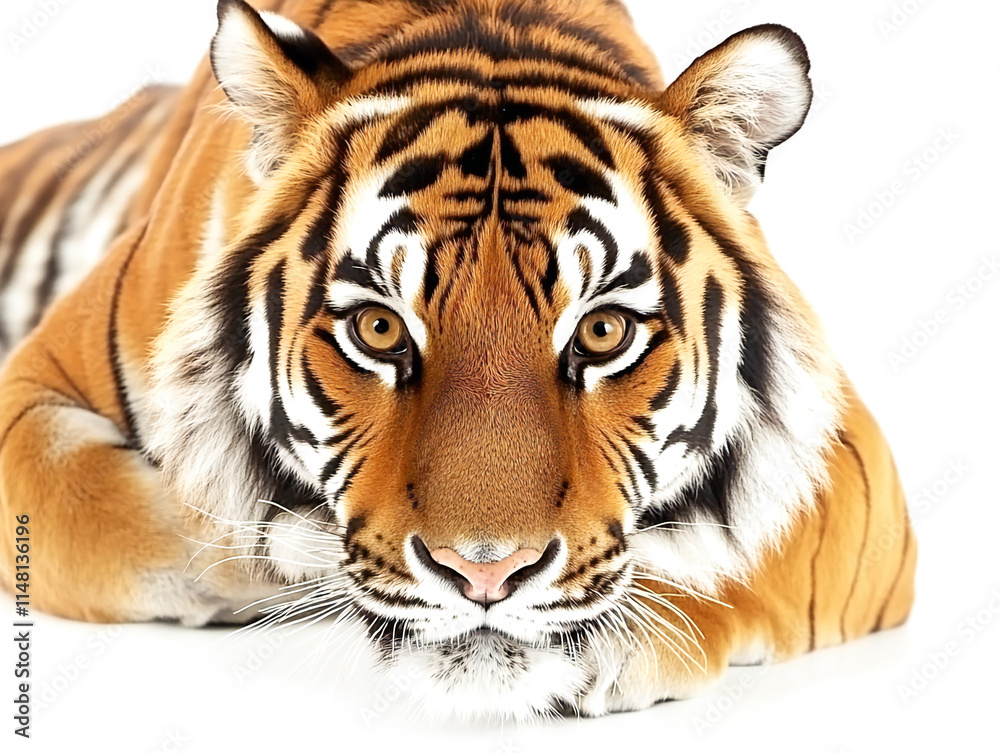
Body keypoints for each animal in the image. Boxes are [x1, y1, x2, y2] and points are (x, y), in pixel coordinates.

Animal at [0, 0, 916, 719]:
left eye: (603, 334)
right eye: (378, 329)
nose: (485, 573)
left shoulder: (848, 462)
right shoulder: (32, 390)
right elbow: (153, 520)